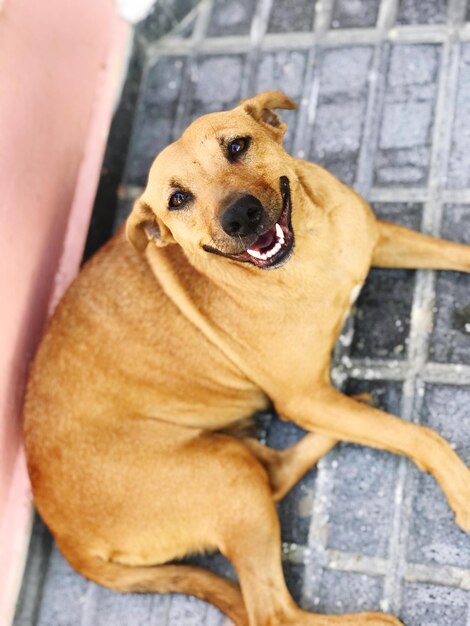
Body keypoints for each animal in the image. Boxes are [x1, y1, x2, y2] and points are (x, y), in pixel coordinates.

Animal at [24, 91, 470, 624]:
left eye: (237, 146)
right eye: (177, 199)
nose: (241, 216)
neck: (308, 259)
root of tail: (67, 541)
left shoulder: (379, 238)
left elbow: (458, 252)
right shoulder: (303, 397)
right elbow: (421, 436)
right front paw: (463, 490)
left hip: (234, 466)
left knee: (275, 475)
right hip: (229, 477)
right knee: (273, 612)